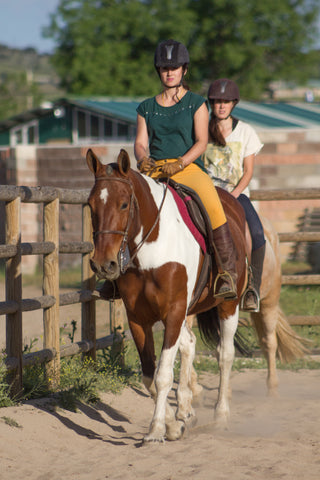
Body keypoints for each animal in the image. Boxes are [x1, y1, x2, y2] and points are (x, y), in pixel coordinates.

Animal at [86, 149, 306, 442]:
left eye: (123, 204)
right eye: (90, 205)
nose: (103, 264)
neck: (152, 248)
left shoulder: (174, 312)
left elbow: (163, 374)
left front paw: (156, 429)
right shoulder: (138, 319)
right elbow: (149, 376)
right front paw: (174, 423)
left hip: (234, 305)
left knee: (230, 353)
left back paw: (225, 412)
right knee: (194, 346)